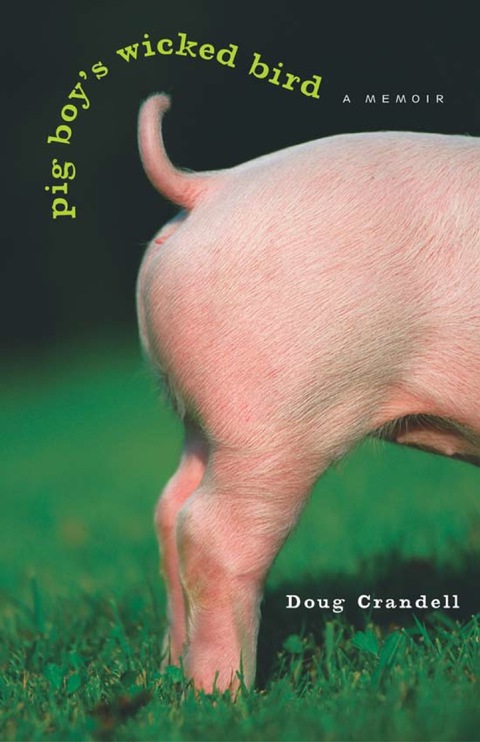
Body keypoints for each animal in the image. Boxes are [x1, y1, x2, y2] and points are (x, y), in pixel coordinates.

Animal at [136, 93, 480, 693]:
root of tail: (210, 185)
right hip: (274, 419)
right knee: (211, 533)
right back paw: (226, 692)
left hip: (206, 419)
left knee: (171, 507)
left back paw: (172, 670)